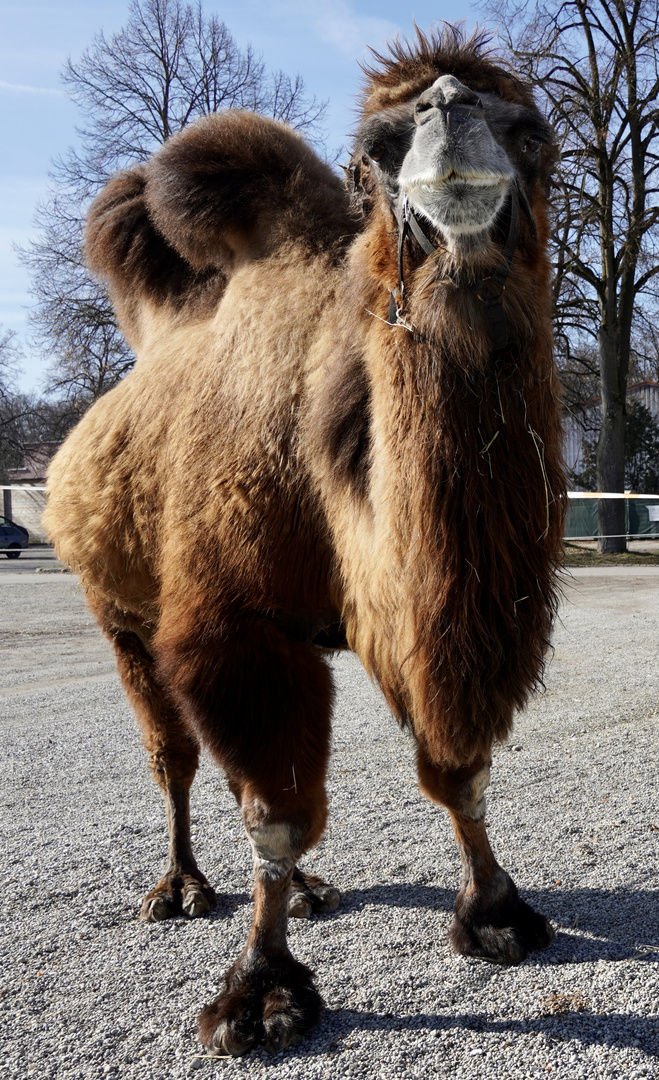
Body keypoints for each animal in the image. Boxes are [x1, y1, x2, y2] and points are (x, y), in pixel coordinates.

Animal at [44, 29, 566, 1058]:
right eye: (373, 148)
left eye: (531, 132)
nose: (451, 105)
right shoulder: (238, 627)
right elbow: (276, 815)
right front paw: (260, 993)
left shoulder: (408, 614)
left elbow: (457, 770)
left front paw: (496, 912)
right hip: (114, 610)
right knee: (173, 757)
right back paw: (181, 888)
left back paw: (316, 891)